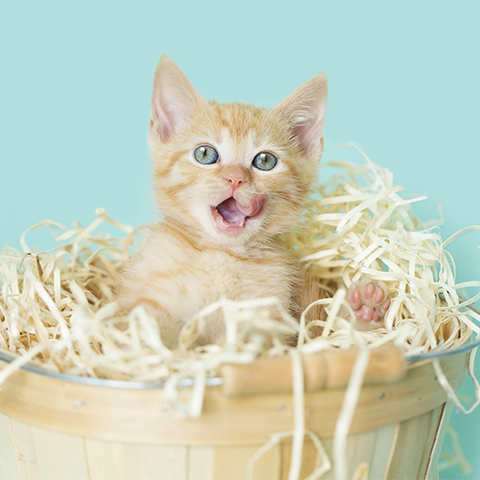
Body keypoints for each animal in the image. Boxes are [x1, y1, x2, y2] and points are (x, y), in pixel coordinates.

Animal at [116, 56, 390, 348]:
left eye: (265, 161)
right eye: (205, 154)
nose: (235, 178)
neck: (224, 254)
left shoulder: (272, 316)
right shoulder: (146, 302)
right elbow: (149, 333)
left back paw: (362, 312)